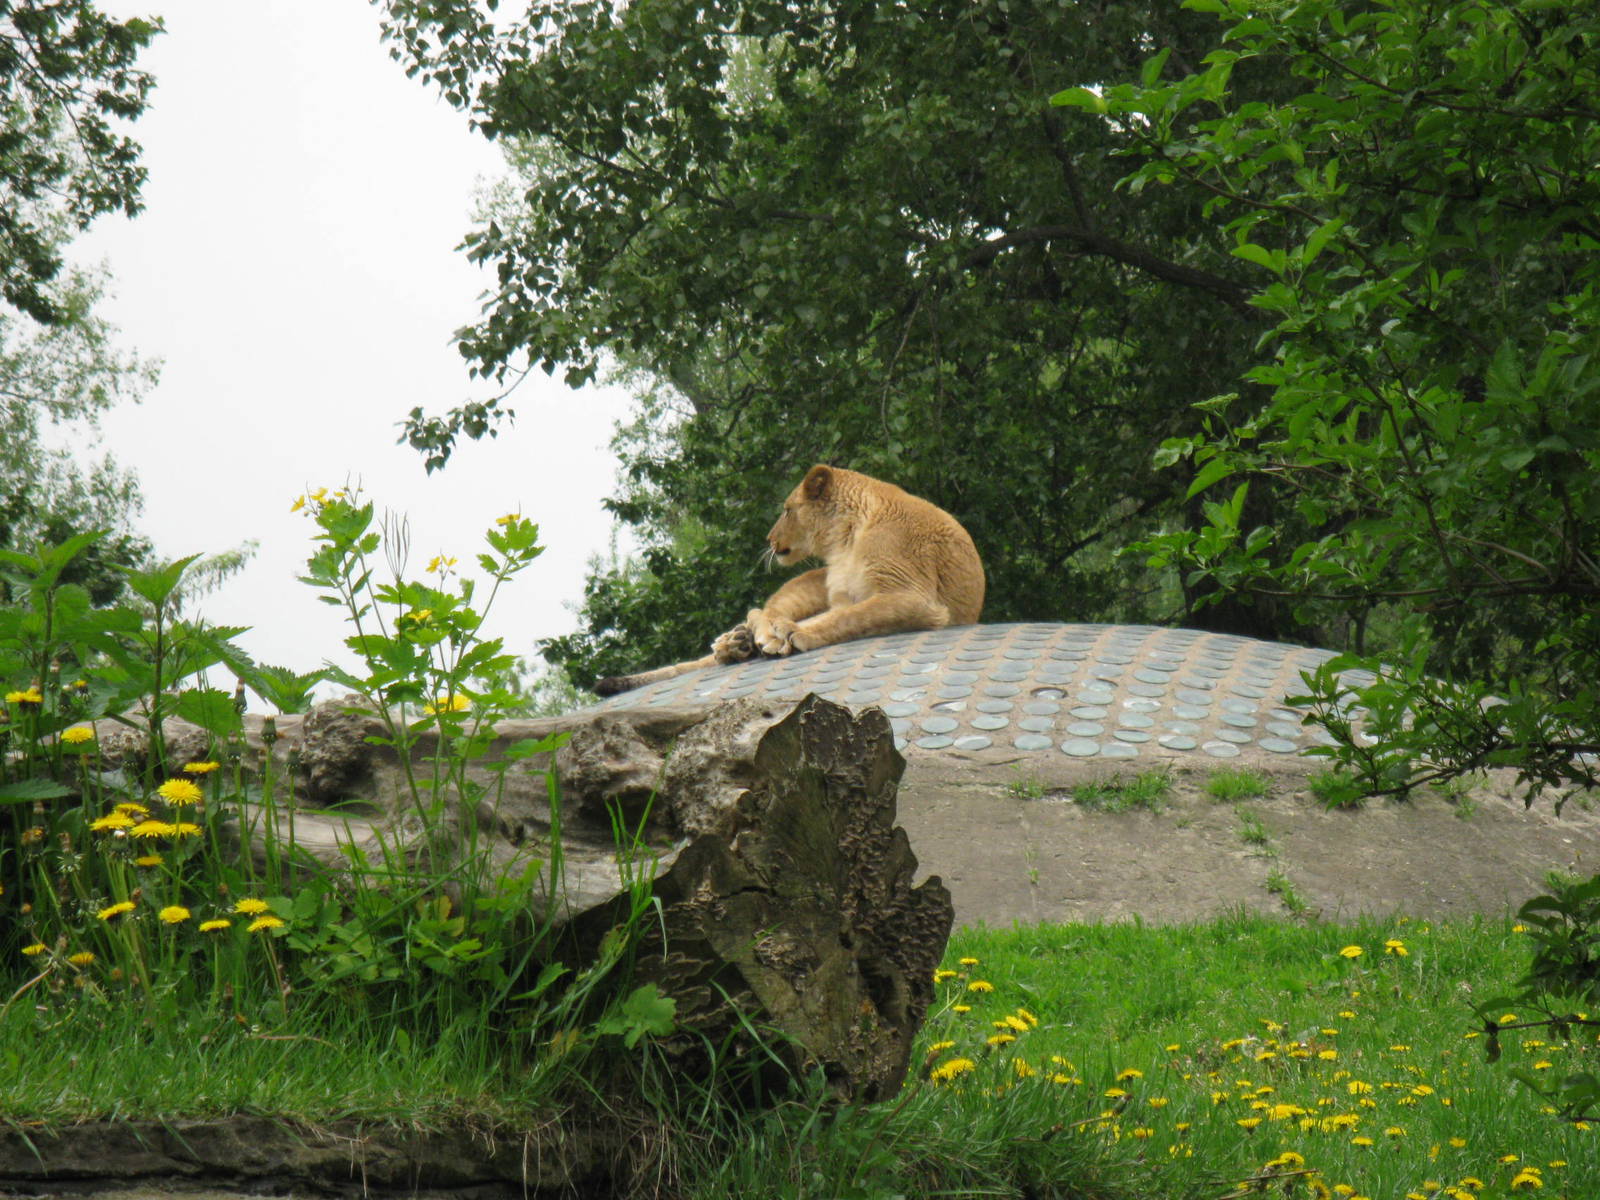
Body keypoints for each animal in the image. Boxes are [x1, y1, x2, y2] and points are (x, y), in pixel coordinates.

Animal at [592, 464, 986, 696]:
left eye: (786, 510)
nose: (769, 539)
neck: (846, 539)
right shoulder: (838, 588)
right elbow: (825, 613)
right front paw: (763, 636)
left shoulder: (917, 597)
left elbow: (852, 617)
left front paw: (795, 635)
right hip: (810, 581)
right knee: (761, 610)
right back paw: (736, 643)